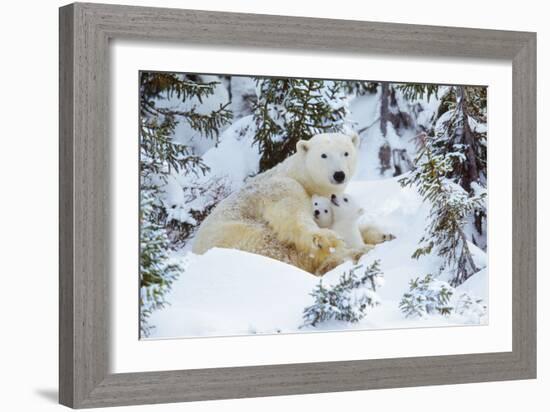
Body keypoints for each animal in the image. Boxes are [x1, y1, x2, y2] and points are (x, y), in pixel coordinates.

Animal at [194, 132, 380, 274]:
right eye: (324, 155)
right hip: (242, 235)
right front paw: (327, 239)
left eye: (346, 153)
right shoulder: (281, 187)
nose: (339, 174)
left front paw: (379, 233)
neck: (301, 177)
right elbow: (292, 215)